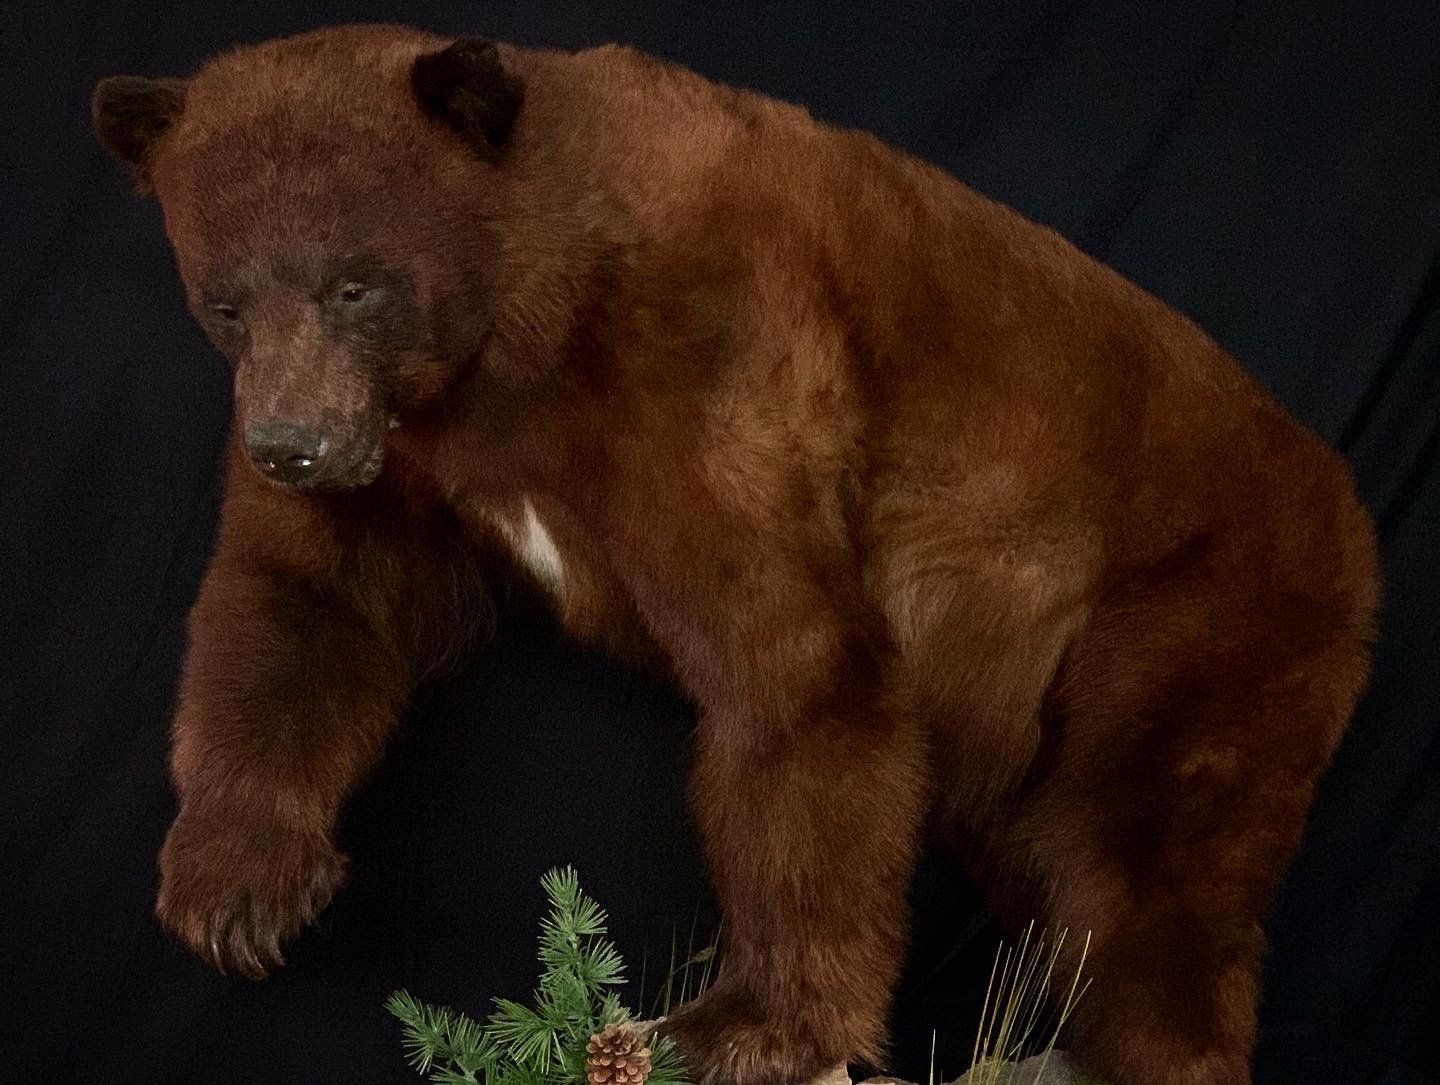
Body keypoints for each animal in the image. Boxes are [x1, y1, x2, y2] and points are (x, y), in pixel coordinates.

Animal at [91, 24, 1378, 1085]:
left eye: (356, 283)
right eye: (226, 301)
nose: (288, 446)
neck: (522, 327)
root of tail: (1346, 507)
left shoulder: (703, 365)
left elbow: (794, 670)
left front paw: (742, 1022)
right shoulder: (413, 451)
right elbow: (314, 596)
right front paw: (235, 881)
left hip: (1195, 616)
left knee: (1146, 867)